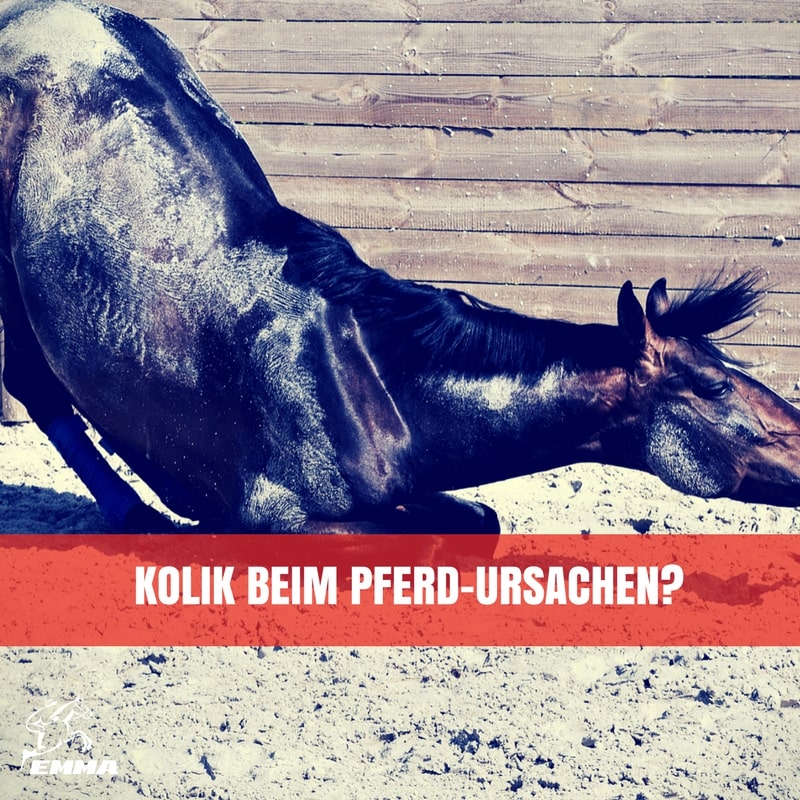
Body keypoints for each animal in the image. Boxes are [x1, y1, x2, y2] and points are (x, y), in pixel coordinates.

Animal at [2, 0, 800, 533]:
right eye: (712, 386)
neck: (374, 383)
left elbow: (478, 521)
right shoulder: (283, 521)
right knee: (34, 386)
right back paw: (130, 512)